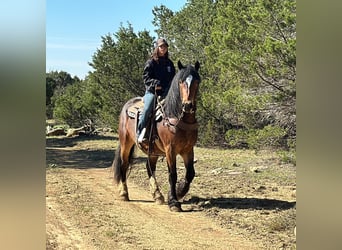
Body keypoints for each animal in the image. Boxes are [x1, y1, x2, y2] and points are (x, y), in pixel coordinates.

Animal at [112, 60, 200, 211]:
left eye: (197, 81)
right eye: (181, 81)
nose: (188, 105)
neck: (175, 117)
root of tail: (127, 105)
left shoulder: (188, 150)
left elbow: (190, 174)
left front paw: (179, 191)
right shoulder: (170, 149)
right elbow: (172, 174)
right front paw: (174, 202)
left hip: (152, 150)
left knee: (149, 168)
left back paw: (157, 195)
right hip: (125, 142)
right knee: (124, 164)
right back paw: (124, 193)